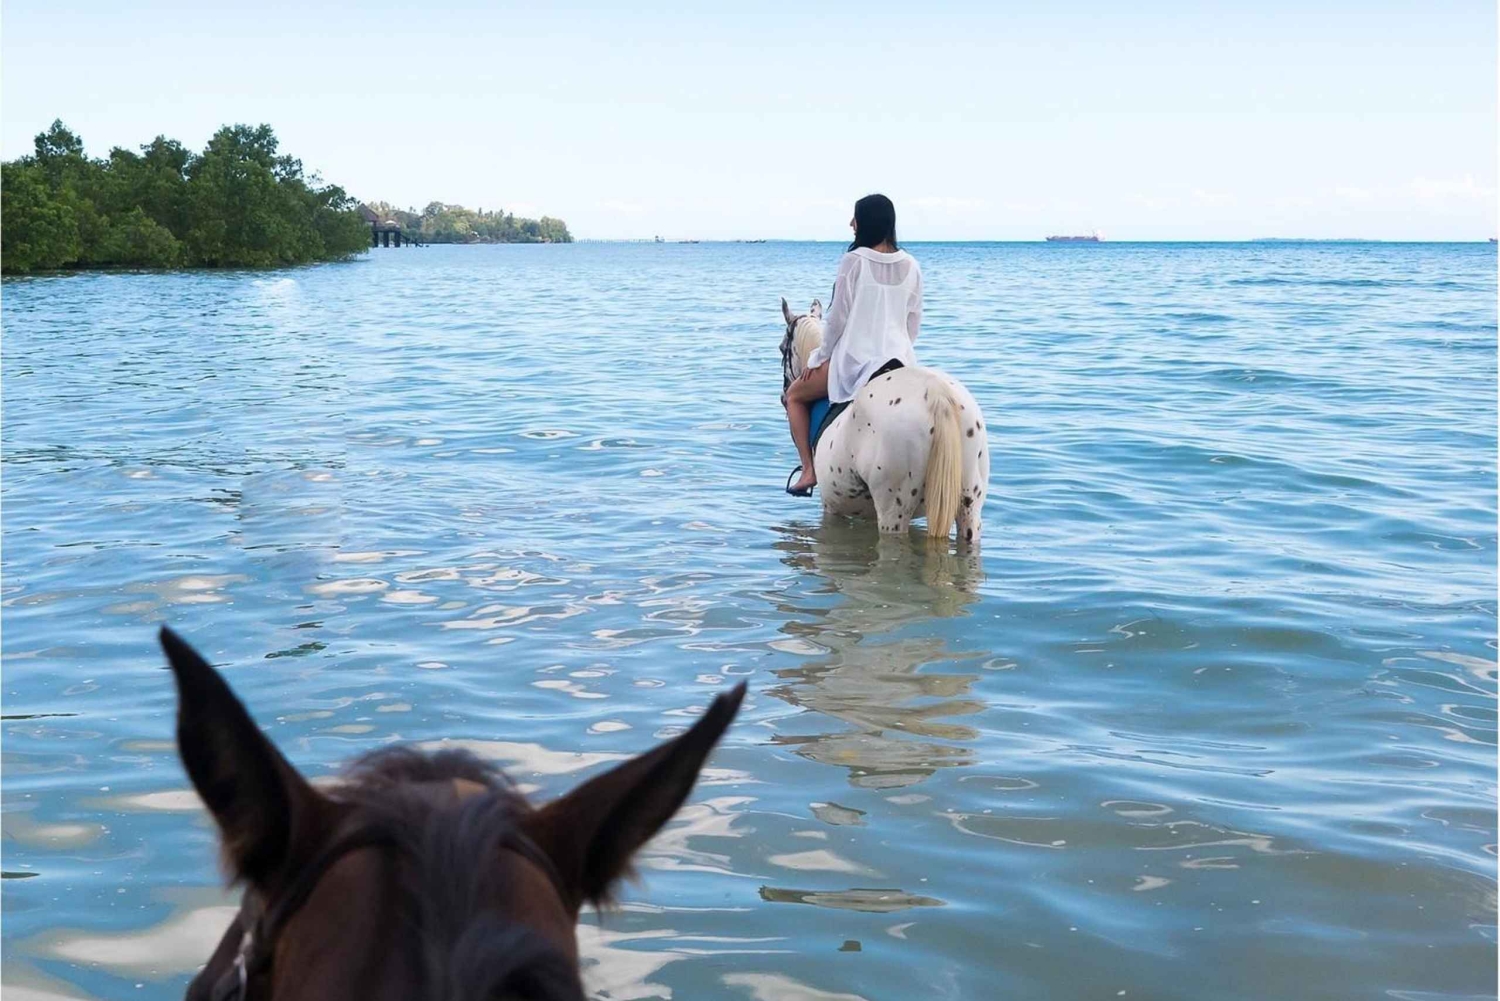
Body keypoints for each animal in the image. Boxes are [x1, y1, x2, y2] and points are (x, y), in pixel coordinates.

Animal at [779, 297, 990, 545]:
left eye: (782, 348)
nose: (785, 395)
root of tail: (937, 395)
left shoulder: (830, 505)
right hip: (970, 507)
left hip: (893, 510)